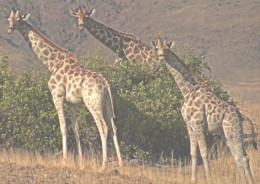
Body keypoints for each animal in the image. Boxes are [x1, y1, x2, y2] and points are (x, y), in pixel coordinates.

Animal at [7, 9, 123, 169]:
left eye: (18, 20)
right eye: (8, 19)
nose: (10, 29)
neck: (53, 63)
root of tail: (106, 84)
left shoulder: (57, 96)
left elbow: (63, 128)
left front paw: (64, 160)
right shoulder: (71, 102)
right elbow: (76, 129)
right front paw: (80, 162)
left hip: (93, 104)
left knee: (103, 127)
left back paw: (104, 165)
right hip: (107, 104)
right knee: (113, 127)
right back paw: (121, 164)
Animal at [151, 36, 256, 183]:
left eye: (166, 48)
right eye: (157, 48)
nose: (161, 56)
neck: (187, 91)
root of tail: (241, 116)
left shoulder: (199, 124)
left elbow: (204, 153)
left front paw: (209, 179)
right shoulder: (189, 126)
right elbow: (193, 153)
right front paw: (193, 179)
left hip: (233, 130)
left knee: (243, 157)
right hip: (226, 134)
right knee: (238, 157)